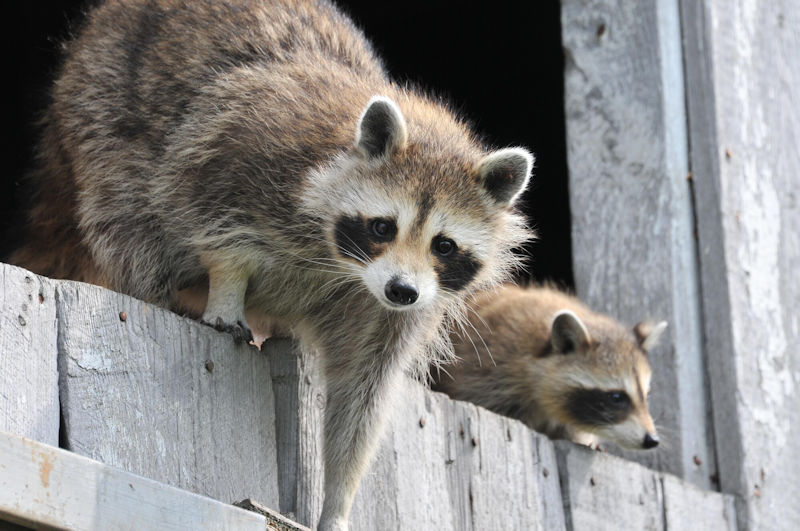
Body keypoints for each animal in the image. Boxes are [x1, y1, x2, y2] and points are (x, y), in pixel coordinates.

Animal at [10, 2, 532, 528]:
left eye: (443, 246)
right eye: (384, 227)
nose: (402, 290)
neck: (344, 264)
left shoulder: (390, 310)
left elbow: (362, 396)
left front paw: (339, 498)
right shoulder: (247, 151)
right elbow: (213, 219)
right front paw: (227, 287)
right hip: (99, 101)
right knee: (126, 213)